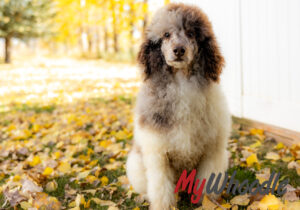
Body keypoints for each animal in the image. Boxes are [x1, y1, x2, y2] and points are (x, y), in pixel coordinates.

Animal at [125, 3, 231, 210]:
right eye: (166, 35)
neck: (182, 83)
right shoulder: (158, 154)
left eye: (191, 33)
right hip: (136, 164)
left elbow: (206, 186)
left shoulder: (212, 152)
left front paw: (206, 204)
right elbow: (161, 189)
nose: (179, 50)